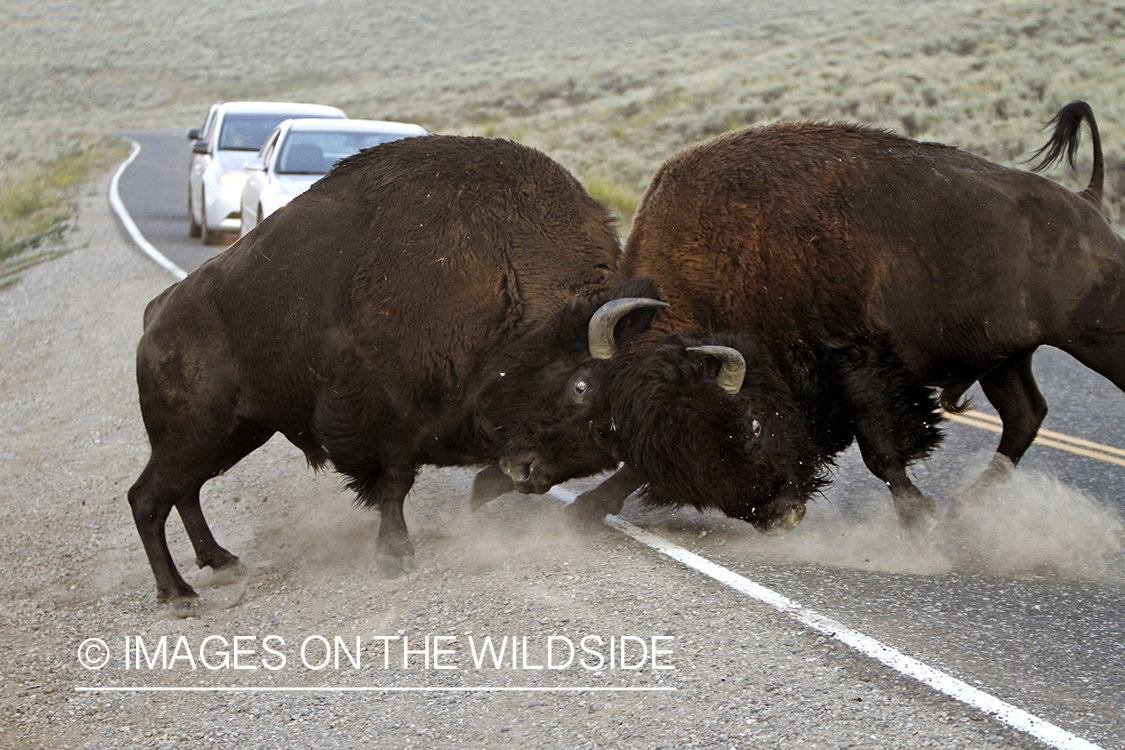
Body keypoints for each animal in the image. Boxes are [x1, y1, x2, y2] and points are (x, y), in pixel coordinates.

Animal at [129, 134, 666, 616]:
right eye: (581, 386)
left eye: (609, 432)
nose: (529, 475)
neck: (503, 273)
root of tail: (157, 313)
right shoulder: (381, 417)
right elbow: (393, 482)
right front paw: (395, 556)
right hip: (194, 433)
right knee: (149, 497)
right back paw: (179, 596)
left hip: (236, 432)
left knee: (185, 491)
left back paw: (222, 563)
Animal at [567, 102, 1125, 532]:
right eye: (682, 463)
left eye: (752, 426)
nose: (780, 514)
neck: (735, 248)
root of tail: (1088, 205)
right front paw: (586, 508)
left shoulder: (852, 358)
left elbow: (880, 449)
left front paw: (918, 523)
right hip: (1007, 358)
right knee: (1026, 416)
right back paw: (967, 508)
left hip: (1095, 338)